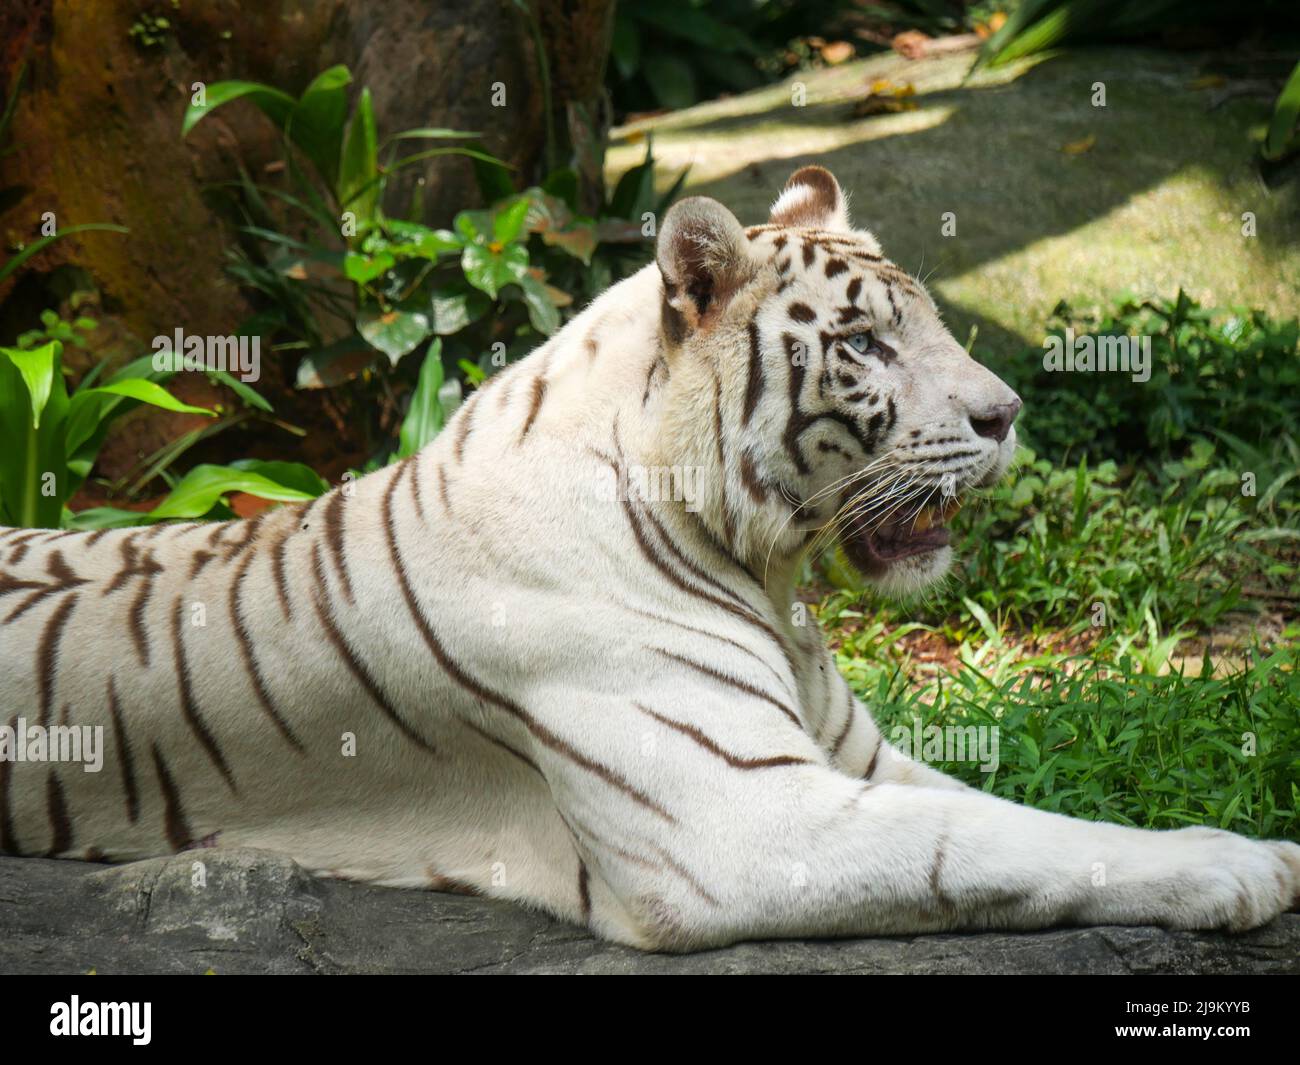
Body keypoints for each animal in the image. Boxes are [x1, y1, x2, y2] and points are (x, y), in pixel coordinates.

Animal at [0, 170, 1294, 951]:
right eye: (866, 343)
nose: (1009, 414)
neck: (769, 577)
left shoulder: (854, 762)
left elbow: (1021, 815)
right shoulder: (736, 822)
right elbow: (995, 847)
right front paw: (1241, 867)